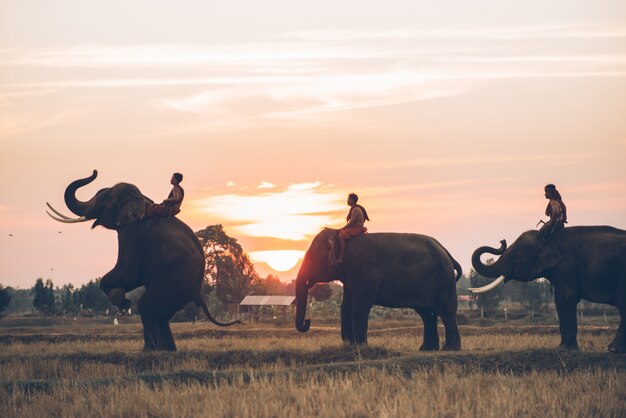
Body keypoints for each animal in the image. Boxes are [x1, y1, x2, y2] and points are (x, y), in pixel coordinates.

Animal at [45, 170, 239, 350]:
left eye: (102, 199)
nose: (95, 171)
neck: (142, 200)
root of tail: (198, 291)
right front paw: (122, 301)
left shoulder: (133, 234)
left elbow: (128, 273)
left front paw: (123, 303)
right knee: (162, 314)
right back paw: (167, 350)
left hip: (174, 279)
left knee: (147, 306)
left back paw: (149, 350)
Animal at [294, 229, 460, 350]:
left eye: (312, 259)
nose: (308, 320)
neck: (340, 234)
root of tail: (446, 251)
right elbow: (345, 306)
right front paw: (349, 346)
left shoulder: (364, 271)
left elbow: (360, 306)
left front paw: (361, 347)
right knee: (426, 314)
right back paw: (426, 349)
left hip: (443, 279)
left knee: (446, 312)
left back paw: (449, 349)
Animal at [468, 225, 624, 352]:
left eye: (513, 255)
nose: (502, 241)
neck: (548, 238)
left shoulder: (565, 266)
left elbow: (565, 298)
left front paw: (564, 349)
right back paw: (614, 349)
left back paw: (613, 349)